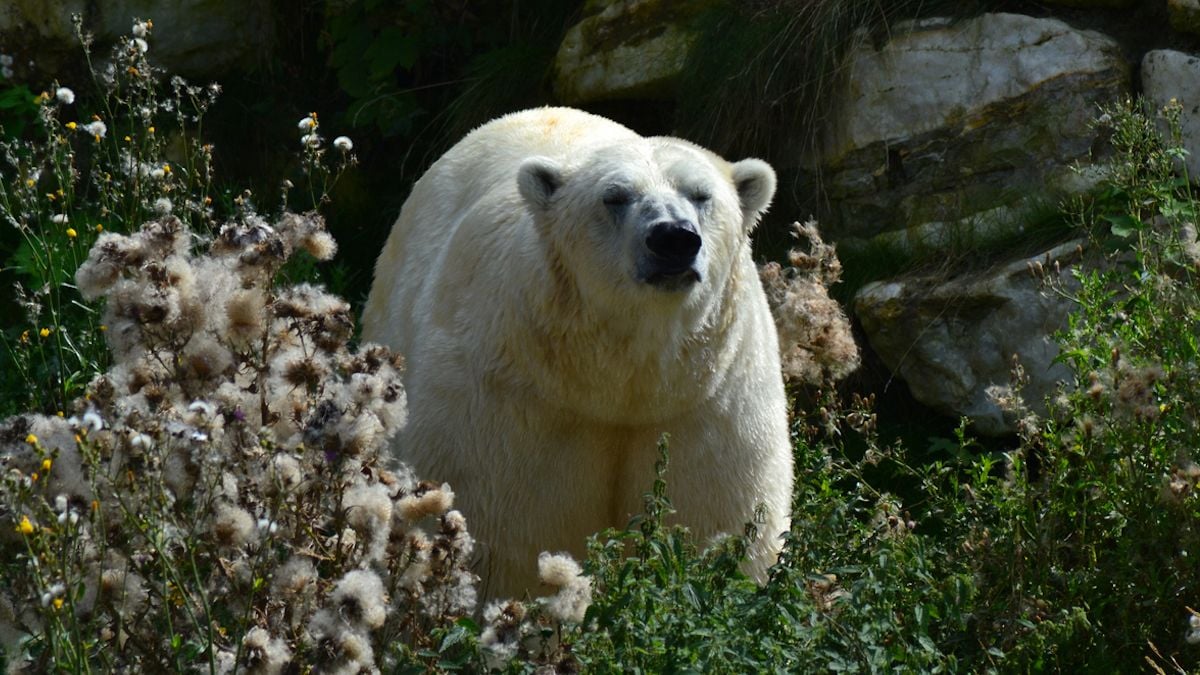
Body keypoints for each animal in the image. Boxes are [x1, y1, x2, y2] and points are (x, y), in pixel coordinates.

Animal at [364, 106, 796, 593]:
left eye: (701, 195)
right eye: (615, 197)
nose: (673, 238)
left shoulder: (707, 399)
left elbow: (714, 514)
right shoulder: (511, 394)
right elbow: (501, 526)